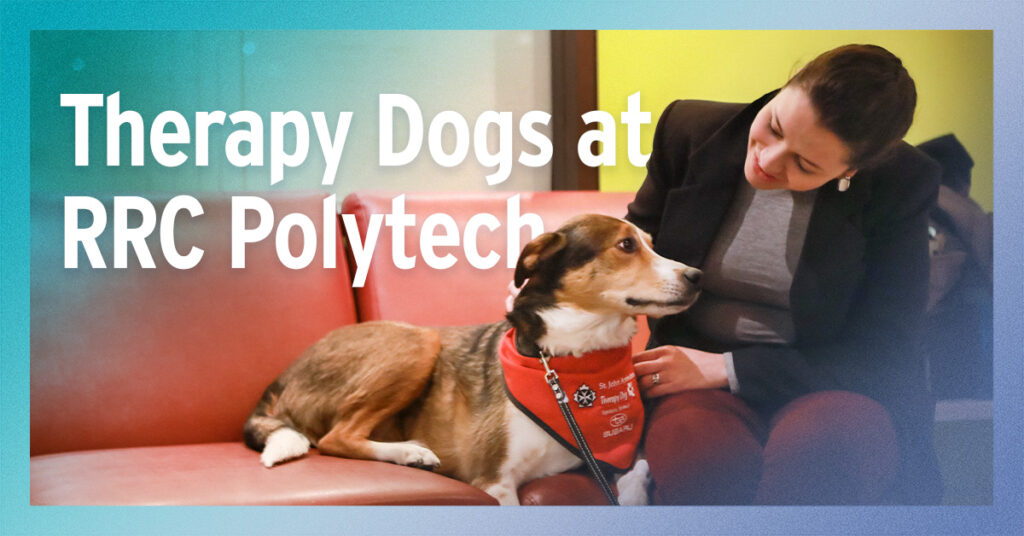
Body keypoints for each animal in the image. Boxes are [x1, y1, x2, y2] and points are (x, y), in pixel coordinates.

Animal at [243, 215, 700, 508]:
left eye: (652, 243)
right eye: (626, 245)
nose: (697, 276)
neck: (568, 361)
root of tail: (279, 383)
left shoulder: (615, 455)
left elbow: (640, 471)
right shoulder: (495, 481)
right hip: (418, 341)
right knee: (335, 438)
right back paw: (410, 453)